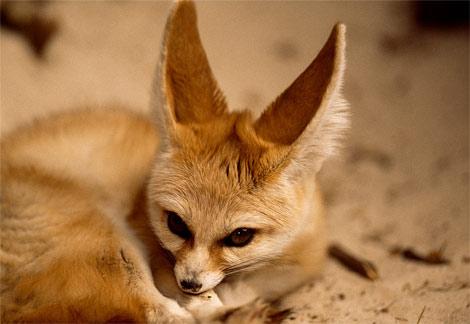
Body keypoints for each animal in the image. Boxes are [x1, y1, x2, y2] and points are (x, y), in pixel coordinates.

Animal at [0, 0, 346, 322]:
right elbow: (194, 304)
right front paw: (226, 306)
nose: (189, 283)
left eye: (240, 236)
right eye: (176, 223)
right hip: (106, 237)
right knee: (160, 313)